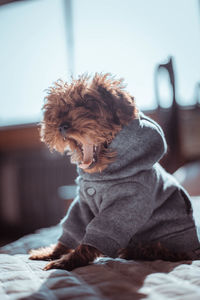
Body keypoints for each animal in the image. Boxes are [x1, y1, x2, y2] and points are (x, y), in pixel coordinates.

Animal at [28, 74, 199, 270]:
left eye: (89, 104)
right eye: (56, 109)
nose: (61, 126)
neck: (101, 176)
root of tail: (194, 248)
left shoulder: (127, 203)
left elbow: (97, 236)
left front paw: (67, 260)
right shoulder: (83, 203)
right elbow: (73, 227)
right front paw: (51, 252)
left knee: (156, 250)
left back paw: (133, 251)